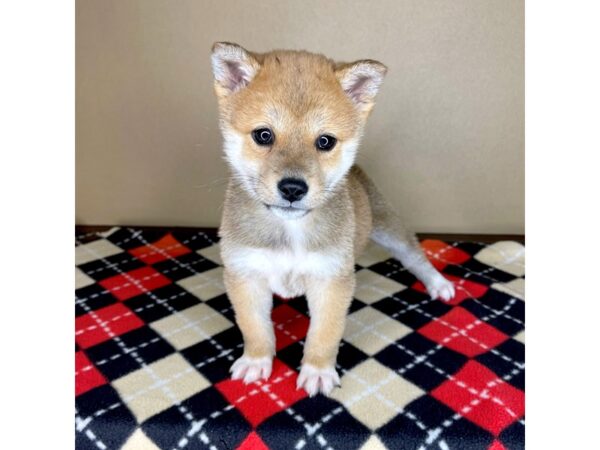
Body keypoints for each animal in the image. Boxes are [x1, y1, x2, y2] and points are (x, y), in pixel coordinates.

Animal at [211, 41, 454, 394]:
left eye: (325, 141)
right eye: (263, 135)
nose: (293, 188)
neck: (290, 231)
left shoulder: (331, 282)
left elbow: (324, 334)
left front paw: (317, 371)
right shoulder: (246, 275)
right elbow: (255, 327)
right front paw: (256, 360)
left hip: (388, 227)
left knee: (415, 256)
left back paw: (438, 284)